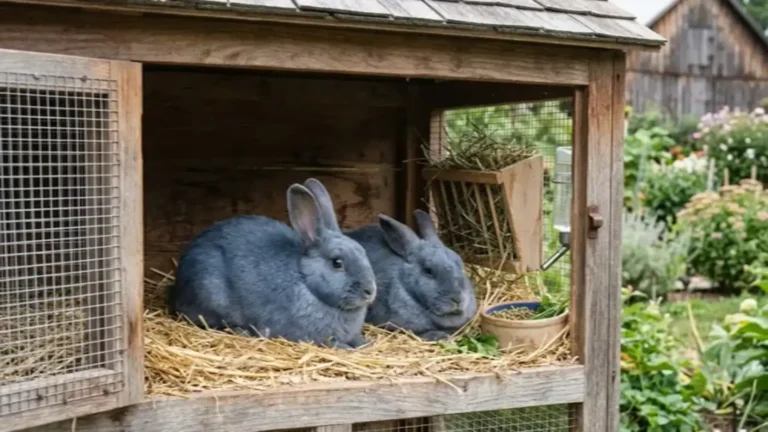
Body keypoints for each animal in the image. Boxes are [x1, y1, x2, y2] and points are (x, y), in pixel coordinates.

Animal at [167, 181, 377, 349]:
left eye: (363, 252)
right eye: (337, 263)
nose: (370, 291)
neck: (306, 283)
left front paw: (366, 344)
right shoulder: (312, 336)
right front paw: (348, 348)